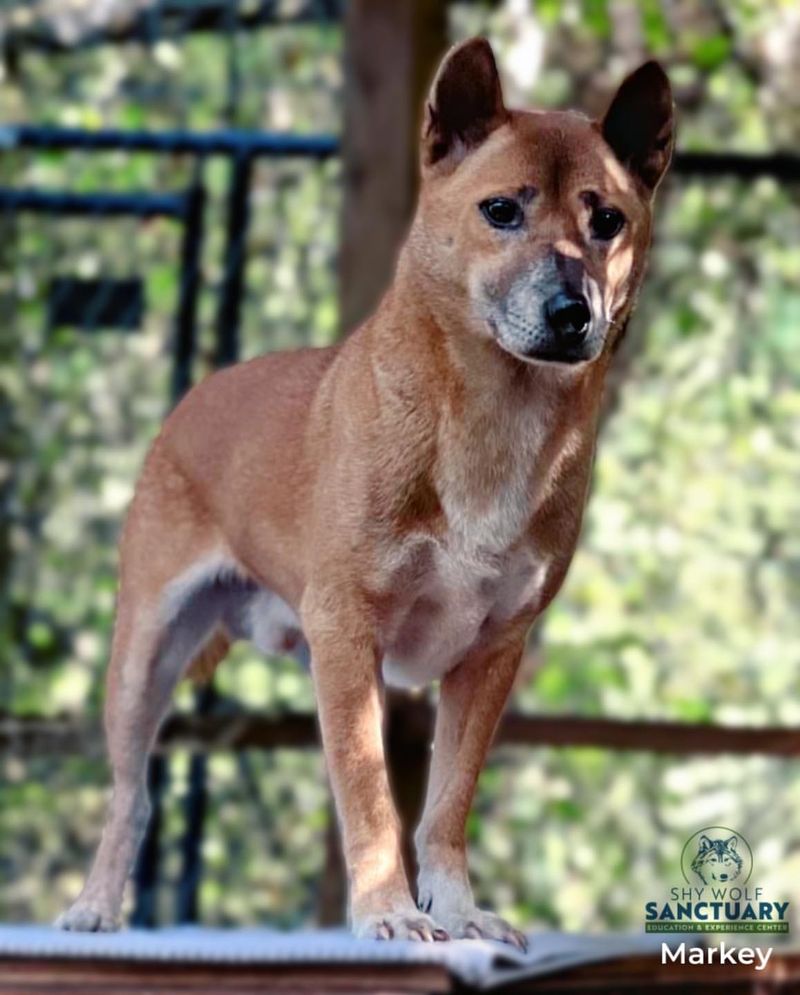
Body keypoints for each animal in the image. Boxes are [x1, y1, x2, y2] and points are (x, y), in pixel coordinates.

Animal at [56, 39, 672, 948]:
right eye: (501, 211)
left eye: (609, 222)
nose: (573, 312)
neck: (492, 419)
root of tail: (194, 398)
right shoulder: (347, 629)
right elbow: (371, 795)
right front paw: (387, 910)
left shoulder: (492, 652)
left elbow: (446, 804)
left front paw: (459, 910)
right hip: (145, 656)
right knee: (130, 797)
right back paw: (97, 904)